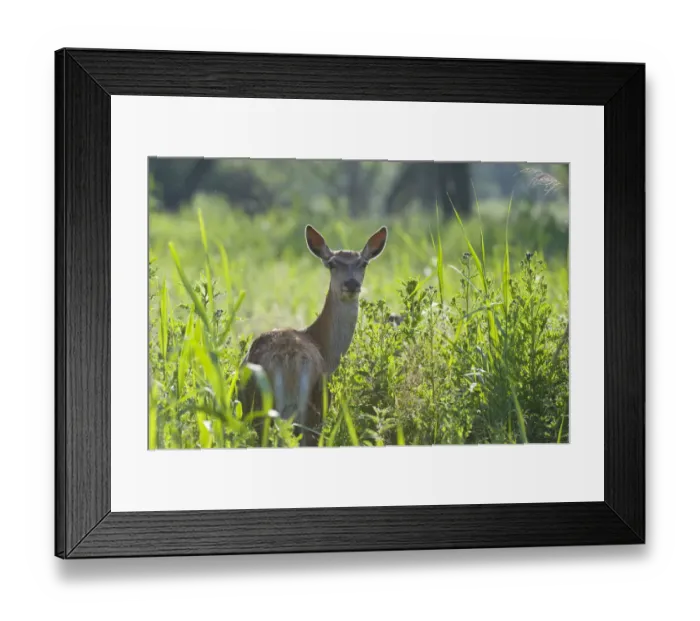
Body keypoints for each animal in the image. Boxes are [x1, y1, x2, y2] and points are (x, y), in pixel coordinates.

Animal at [238, 224, 388, 447]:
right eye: (332, 264)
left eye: (363, 263)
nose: (351, 284)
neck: (322, 345)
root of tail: (287, 360)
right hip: (310, 407)